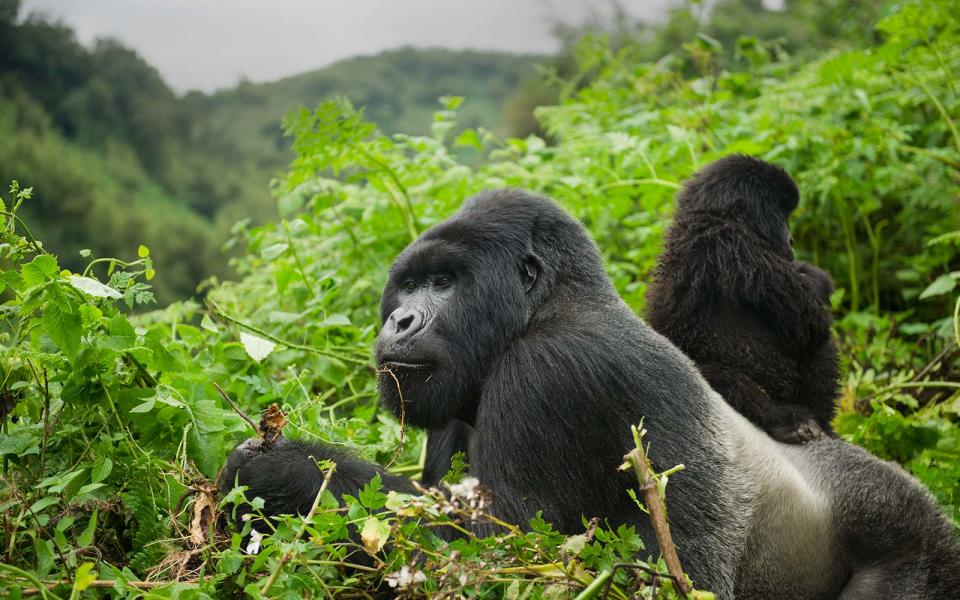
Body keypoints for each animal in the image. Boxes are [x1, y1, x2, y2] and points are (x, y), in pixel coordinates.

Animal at [219, 189, 960, 600]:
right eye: (408, 285)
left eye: (445, 283)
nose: (400, 321)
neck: (546, 306)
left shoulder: (550, 373)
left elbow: (500, 559)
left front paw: (281, 470)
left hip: (913, 542)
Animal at [644, 156, 840, 446]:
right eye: (781, 215)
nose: (791, 240)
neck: (710, 216)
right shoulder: (744, 247)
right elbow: (809, 325)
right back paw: (787, 422)